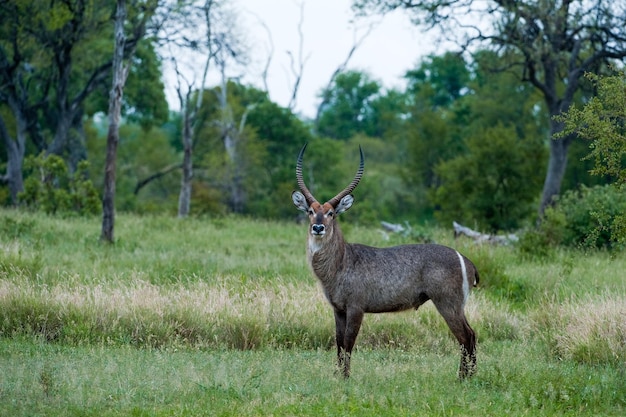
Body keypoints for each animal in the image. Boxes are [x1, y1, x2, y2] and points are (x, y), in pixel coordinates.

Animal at [292, 143, 478, 376]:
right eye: (310, 211)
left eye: (331, 213)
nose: (318, 227)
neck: (341, 262)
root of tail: (466, 260)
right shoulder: (338, 309)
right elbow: (339, 344)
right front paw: (337, 375)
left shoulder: (356, 307)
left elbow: (349, 343)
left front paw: (345, 378)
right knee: (471, 335)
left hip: (448, 302)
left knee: (466, 336)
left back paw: (463, 378)